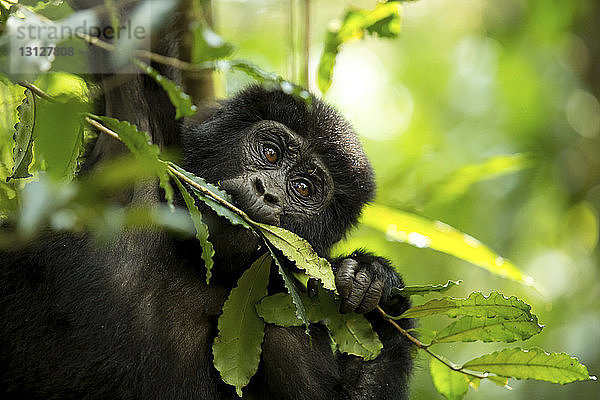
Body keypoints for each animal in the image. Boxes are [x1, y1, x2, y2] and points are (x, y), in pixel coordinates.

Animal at [0, 3, 412, 400]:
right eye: (271, 152)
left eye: (304, 189)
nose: (267, 191)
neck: (192, 262)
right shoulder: (140, 130)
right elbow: (122, 32)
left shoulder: (282, 319)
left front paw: (373, 284)